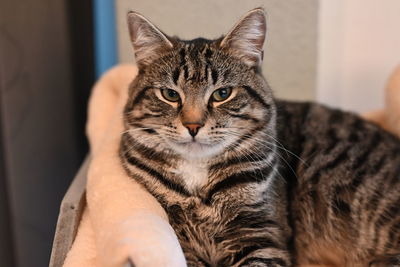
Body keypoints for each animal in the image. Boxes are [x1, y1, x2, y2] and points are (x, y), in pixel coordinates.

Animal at [119, 8, 400, 267]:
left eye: (222, 94)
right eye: (170, 94)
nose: (193, 125)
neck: (198, 176)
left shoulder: (262, 233)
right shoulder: (179, 237)